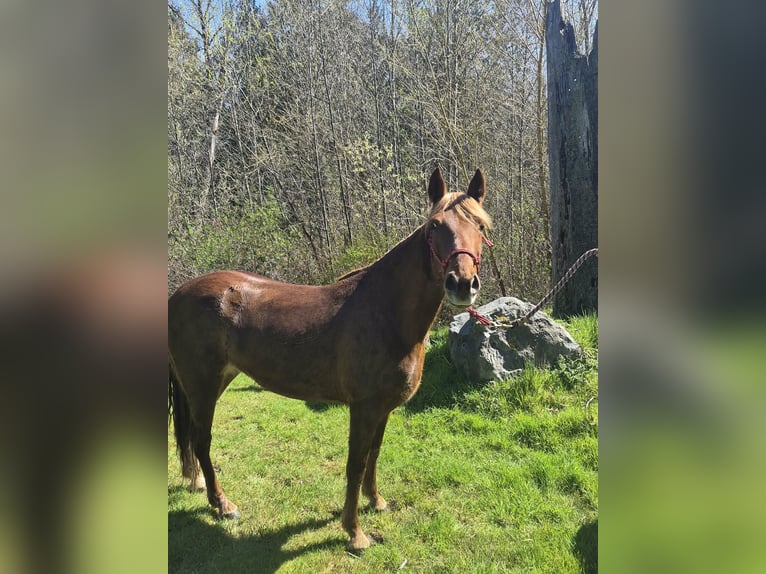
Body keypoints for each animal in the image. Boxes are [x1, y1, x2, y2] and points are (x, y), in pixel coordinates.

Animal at [168, 167, 493, 551]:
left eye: (482, 226)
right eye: (435, 226)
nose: (462, 284)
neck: (386, 313)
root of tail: (178, 294)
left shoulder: (382, 407)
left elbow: (374, 454)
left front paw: (376, 501)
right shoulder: (363, 407)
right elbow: (355, 463)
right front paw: (354, 533)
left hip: (214, 382)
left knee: (192, 438)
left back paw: (199, 485)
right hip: (203, 386)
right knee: (201, 439)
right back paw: (223, 504)